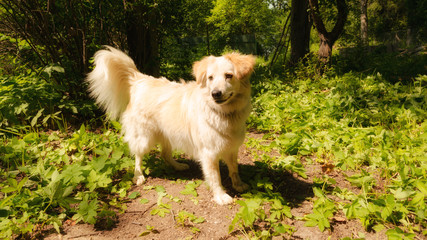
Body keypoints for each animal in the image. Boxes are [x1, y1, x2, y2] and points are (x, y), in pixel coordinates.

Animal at [85, 46, 256, 203]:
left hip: (168, 134)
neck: (224, 112)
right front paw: (221, 196)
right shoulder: (209, 153)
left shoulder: (232, 148)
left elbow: (234, 169)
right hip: (144, 138)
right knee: (138, 156)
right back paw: (138, 176)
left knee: (165, 155)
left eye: (229, 76)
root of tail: (139, 79)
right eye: (210, 78)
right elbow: (215, 177)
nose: (215, 93)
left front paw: (238, 185)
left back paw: (178, 166)